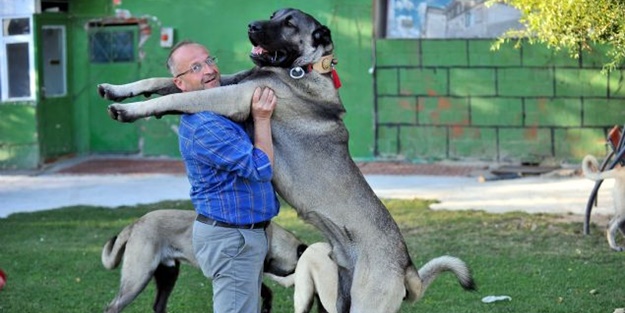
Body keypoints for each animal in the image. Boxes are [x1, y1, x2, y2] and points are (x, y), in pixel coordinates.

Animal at [102, 208, 308, 310]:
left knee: (158, 305)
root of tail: (135, 223)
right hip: (137, 279)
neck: (271, 236)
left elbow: (268, 292)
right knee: (112, 307)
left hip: (168, 277)